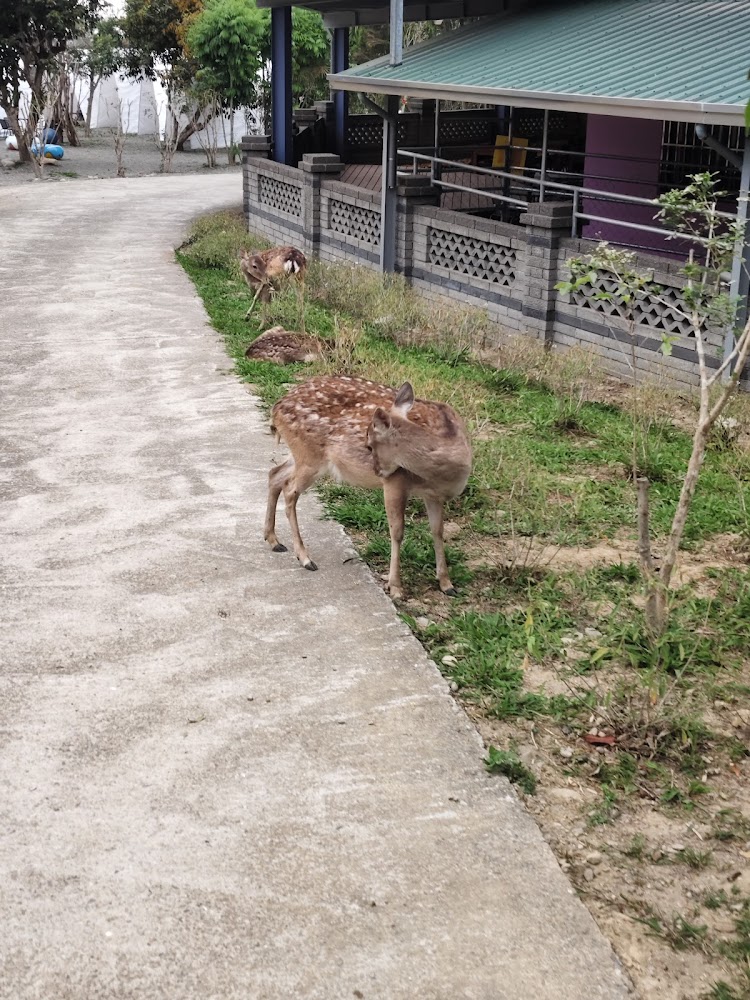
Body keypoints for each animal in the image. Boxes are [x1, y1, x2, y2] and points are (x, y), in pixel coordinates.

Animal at [264, 376, 472, 600]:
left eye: (370, 445)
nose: (377, 471)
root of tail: (276, 408)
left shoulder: (433, 494)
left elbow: (437, 530)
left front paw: (446, 583)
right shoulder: (396, 481)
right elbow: (397, 531)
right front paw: (395, 587)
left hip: (302, 457)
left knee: (275, 474)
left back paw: (274, 540)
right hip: (309, 456)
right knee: (289, 489)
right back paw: (305, 558)